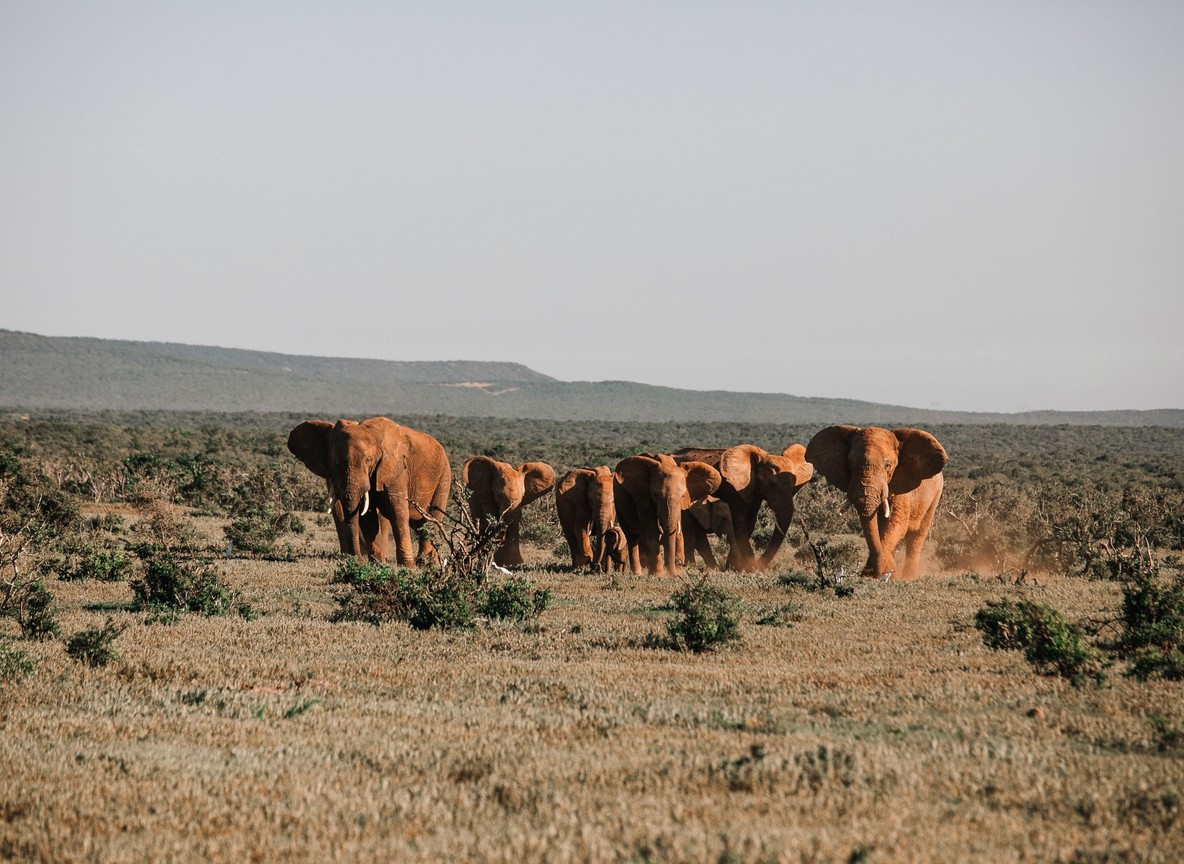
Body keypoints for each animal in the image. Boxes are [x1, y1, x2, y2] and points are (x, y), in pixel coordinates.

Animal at [287, 417, 451, 566]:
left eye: (368, 460)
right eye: (335, 462)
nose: (357, 560)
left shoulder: (395, 469)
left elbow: (397, 512)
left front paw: (407, 566)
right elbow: (368, 516)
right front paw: (378, 563)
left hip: (444, 476)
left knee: (431, 520)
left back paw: (426, 563)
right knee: (419, 525)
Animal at [674, 444, 813, 571]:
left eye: (794, 485)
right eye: (772, 484)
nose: (760, 566)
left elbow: (749, 524)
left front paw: (736, 568)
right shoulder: (736, 490)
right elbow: (740, 525)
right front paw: (749, 568)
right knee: (690, 532)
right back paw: (692, 568)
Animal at [805, 425, 948, 581]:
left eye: (888, 465)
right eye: (850, 463)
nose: (877, 574)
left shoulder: (901, 486)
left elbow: (895, 524)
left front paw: (881, 572)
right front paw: (876, 572)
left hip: (936, 495)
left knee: (917, 536)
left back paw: (909, 576)